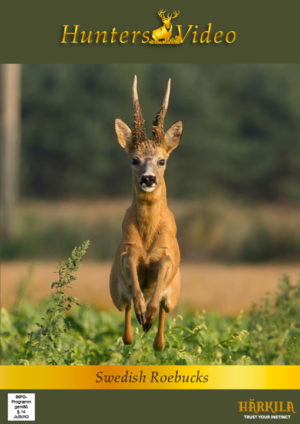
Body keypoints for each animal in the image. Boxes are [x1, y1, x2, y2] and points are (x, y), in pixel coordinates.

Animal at [109, 74, 182, 350]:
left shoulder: (168, 252)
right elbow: (130, 262)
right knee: (126, 317)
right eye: (134, 159)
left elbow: (164, 268)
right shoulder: (127, 249)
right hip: (115, 293)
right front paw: (142, 310)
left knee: (163, 315)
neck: (148, 234)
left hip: (174, 296)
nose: (148, 178)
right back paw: (135, 329)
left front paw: (148, 314)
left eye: (162, 160)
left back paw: (154, 334)